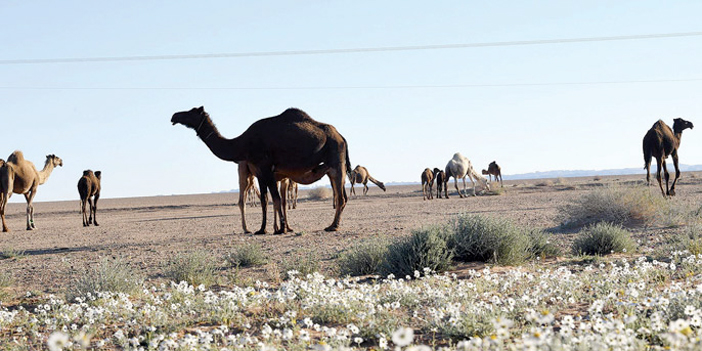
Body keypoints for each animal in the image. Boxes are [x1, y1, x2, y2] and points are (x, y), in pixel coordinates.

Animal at [173, 106, 352, 234]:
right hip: (333, 166)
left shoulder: (266, 168)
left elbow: (276, 199)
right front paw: (264, 229)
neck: (243, 143)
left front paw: (280, 229)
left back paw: (333, 226)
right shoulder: (260, 173)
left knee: (341, 197)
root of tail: (342, 137)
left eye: (191, 111)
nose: (174, 116)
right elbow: (266, 200)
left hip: (336, 161)